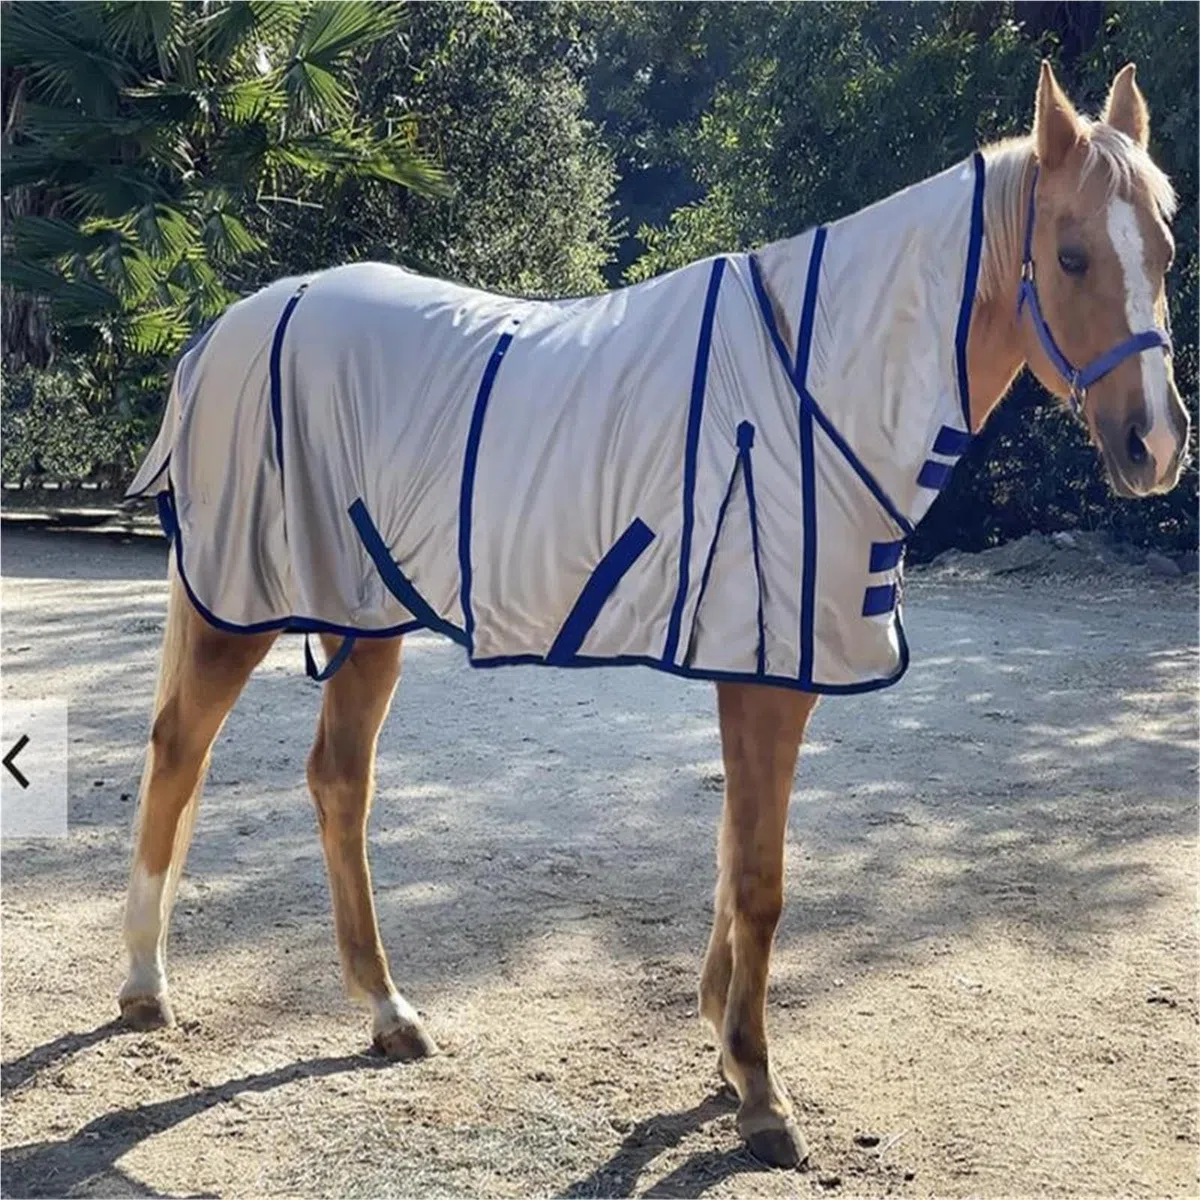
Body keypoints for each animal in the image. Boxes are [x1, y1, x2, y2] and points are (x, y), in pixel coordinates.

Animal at [116, 61, 1188, 1168]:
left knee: (338, 782)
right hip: (244, 607)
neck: (814, 381)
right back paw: (148, 987)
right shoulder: (765, 677)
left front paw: (722, 1044)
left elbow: (731, 856)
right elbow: (759, 878)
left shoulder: (766, 668)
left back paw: (386, 1011)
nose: (1155, 446)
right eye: (1069, 254)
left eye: (1164, 249)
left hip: (364, 615)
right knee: (180, 750)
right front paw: (759, 1090)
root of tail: (227, 328)